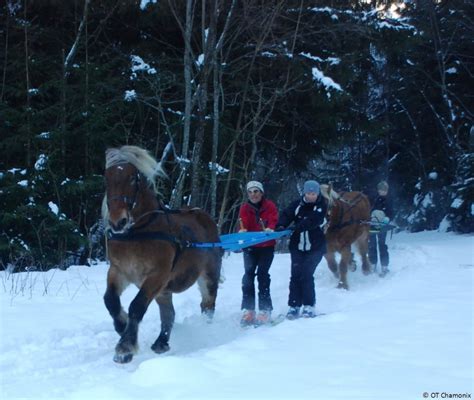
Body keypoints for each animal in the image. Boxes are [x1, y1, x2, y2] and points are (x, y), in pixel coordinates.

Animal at [102, 145, 220, 364]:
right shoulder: (119, 271)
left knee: (208, 305)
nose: (118, 222)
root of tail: (203, 215)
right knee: (169, 314)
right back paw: (161, 343)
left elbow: (137, 305)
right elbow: (110, 301)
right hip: (164, 290)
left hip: (208, 275)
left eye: (132, 178)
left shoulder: (157, 275)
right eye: (107, 177)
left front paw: (125, 346)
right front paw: (122, 325)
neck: (138, 231)